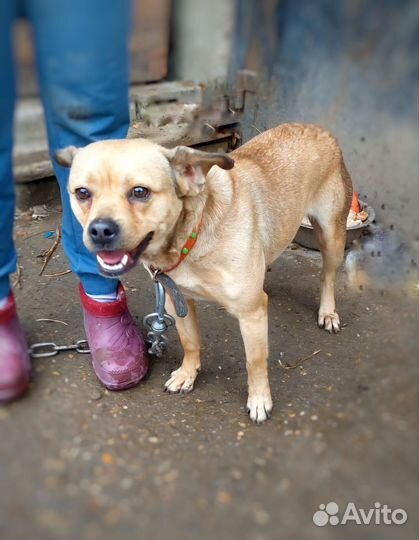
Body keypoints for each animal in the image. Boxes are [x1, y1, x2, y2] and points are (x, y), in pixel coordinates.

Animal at [55, 124, 352, 424]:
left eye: (140, 192)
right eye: (82, 193)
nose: (100, 230)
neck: (191, 235)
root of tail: (317, 128)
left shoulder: (251, 314)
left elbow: (255, 362)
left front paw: (259, 399)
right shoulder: (176, 299)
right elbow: (190, 341)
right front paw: (188, 374)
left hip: (332, 236)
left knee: (327, 276)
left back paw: (328, 312)